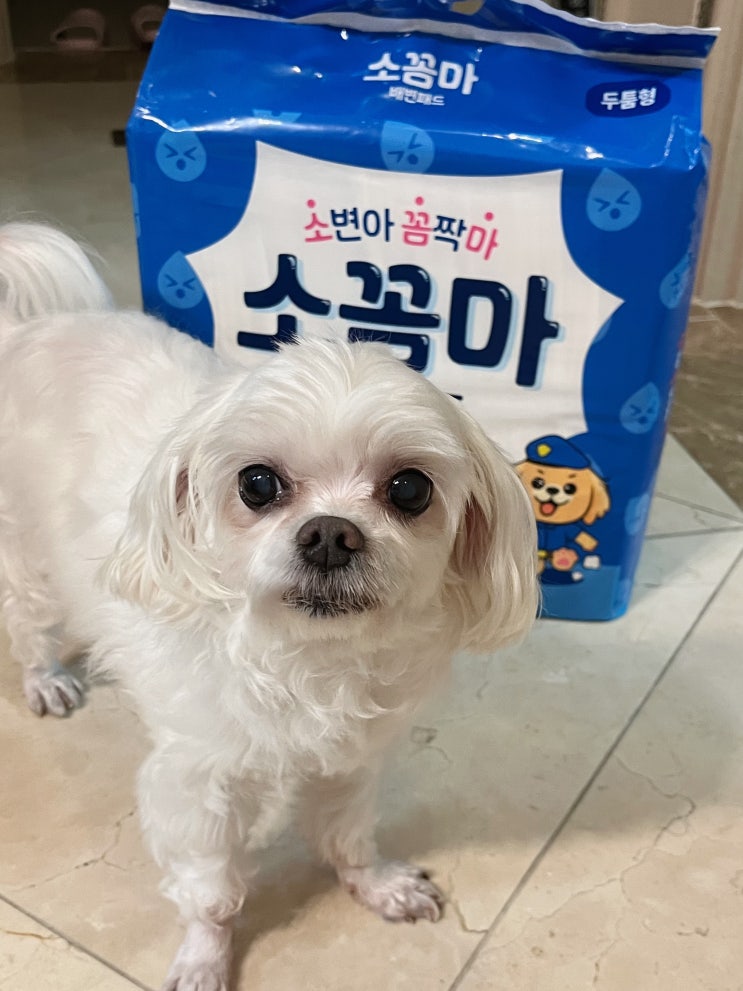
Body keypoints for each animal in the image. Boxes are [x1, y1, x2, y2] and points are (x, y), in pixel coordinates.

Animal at [0, 222, 538, 991]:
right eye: (256, 483)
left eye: (410, 488)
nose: (330, 533)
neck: (307, 658)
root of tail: (34, 324)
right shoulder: (197, 784)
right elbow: (212, 889)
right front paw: (204, 956)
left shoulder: (352, 761)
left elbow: (348, 832)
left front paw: (376, 884)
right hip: (26, 550)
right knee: (30, 617)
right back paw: (45, 676)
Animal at [516, 435, 610, 585]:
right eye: (537, 482)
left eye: (570, 488)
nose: (552, 489)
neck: (550, 525)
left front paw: (590, 544)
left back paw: (564, 558)